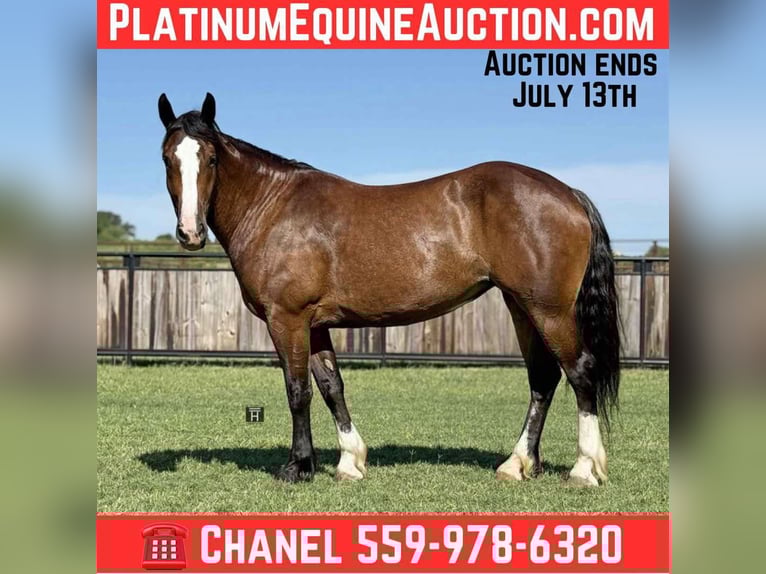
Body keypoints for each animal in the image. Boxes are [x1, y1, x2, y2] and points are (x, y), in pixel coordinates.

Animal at [157, 92, 620, 486]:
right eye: (167, 159)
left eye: (211, 158)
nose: (190, 233)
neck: (272, 207)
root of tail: (569, 193)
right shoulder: (315, 324)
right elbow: (331, 387)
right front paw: (349, 462)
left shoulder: (287, 319)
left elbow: (297, 390)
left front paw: (298, 467)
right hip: (520, 306)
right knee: (543, 378)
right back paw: (517, 464)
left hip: (549, 310)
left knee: (580, 372)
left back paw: (584, 469)